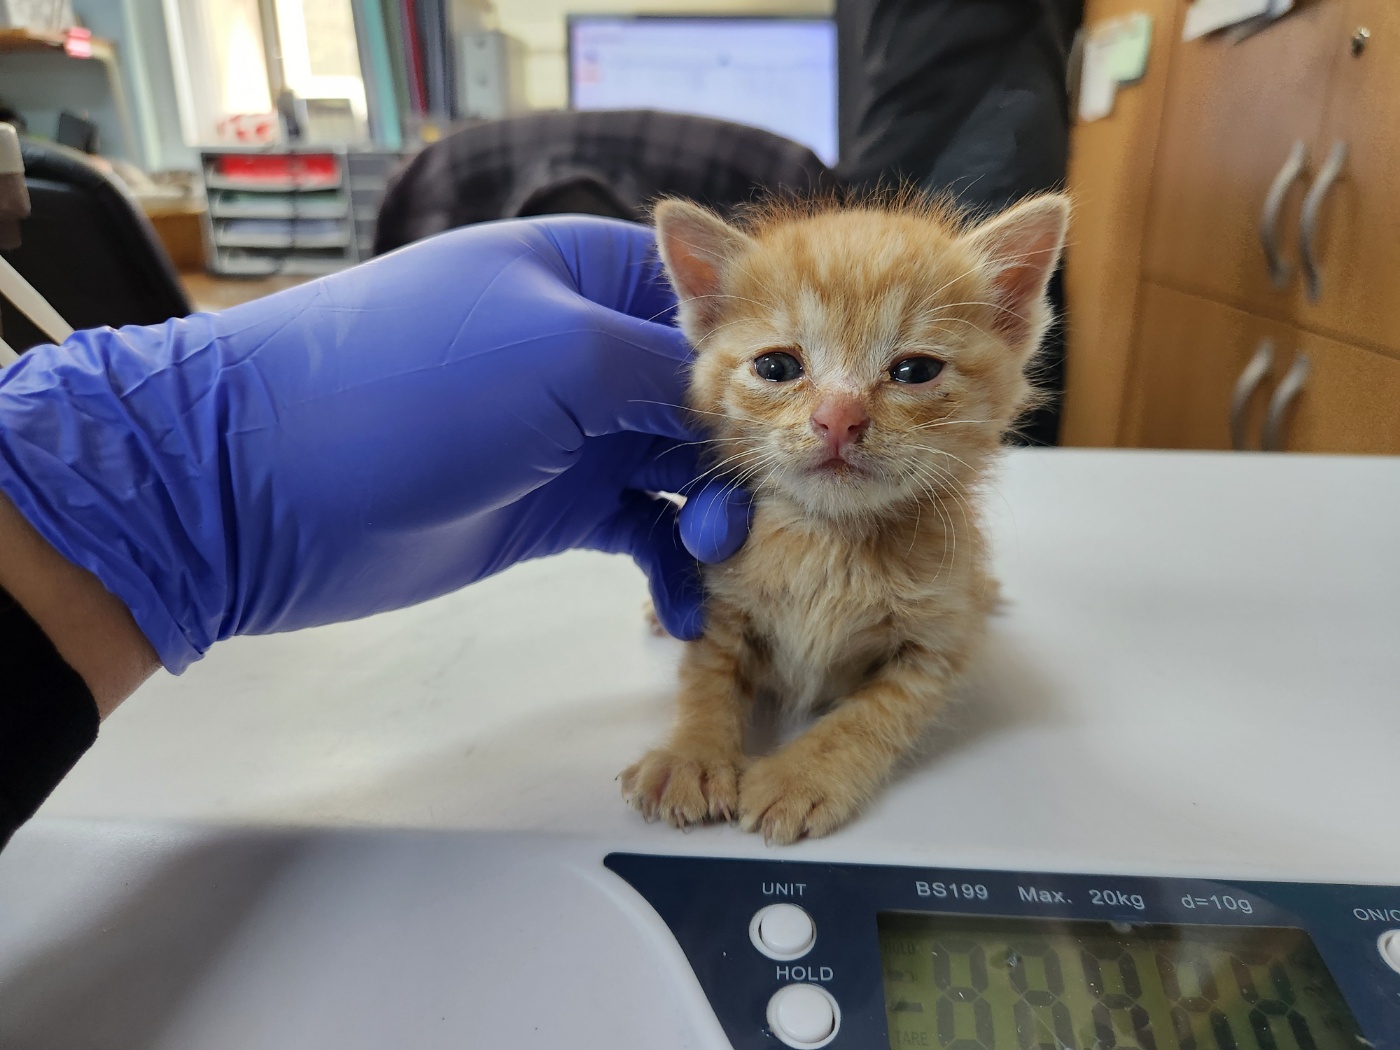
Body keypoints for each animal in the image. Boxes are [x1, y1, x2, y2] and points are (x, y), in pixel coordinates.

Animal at [618, 191, 1064, 845]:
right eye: (777, 367)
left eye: (913, 371)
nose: (838, 417)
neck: (829, 541)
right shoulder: (720, 604)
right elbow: (705, 678)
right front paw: (692, 756)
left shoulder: (935, 650)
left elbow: (871, 714)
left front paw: (801, 775)